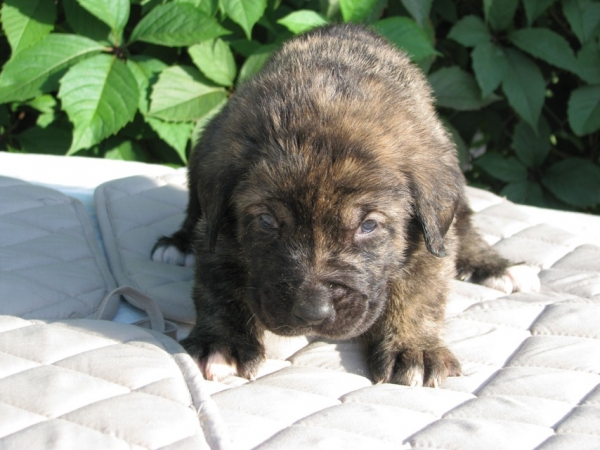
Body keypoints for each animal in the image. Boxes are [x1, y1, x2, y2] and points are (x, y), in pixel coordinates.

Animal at [151, 22, 540, 386]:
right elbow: (218, 286)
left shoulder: (424, 238)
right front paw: (223, 343)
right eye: (266, 221)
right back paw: (177, 243)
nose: (313, 313)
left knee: (463, 227)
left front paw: (412, 348)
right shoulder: (220, 232)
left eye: (368, 225)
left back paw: (495, 266)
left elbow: (420, 291)